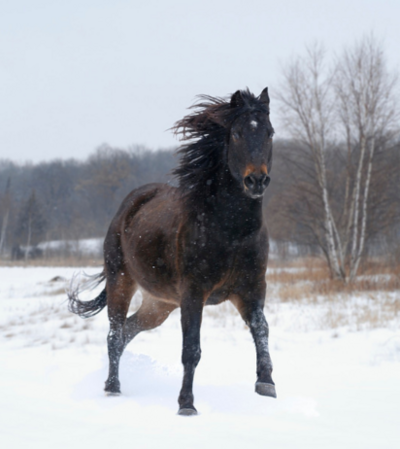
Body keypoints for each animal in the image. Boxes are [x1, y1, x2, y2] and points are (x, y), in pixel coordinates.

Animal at [68, 86, 276, 412]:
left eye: (269, 132)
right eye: (238, 133)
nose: (256, 180)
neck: (232, 232)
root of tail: (128, 205)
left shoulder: (251, 289)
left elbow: (261, 330)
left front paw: (266, 383)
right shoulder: (194, 293)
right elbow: (191, 348)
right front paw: (186, 404)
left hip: (160, 304)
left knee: (127, 331)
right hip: (122, 282)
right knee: (115, 334)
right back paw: (113, 388)